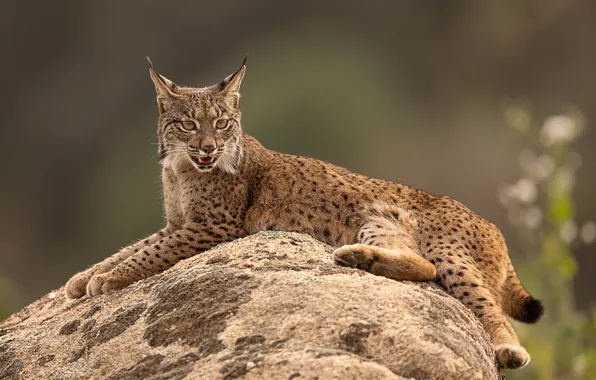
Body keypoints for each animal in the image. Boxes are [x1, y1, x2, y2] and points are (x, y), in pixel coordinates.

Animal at [66, 58, 544, 370]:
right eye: (188, 124)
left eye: (221, 123)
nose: (208, 148)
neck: (181, 168)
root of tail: (493, 225)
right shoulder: (180, 223)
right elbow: (132, 247)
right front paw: (82, 279)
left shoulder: (212, 225)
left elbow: (148, 253)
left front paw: (108, 280)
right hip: (375, 222)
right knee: (422, 267)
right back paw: (360, 259)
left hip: (449, 249)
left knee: (483, 304)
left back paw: (509, 350)